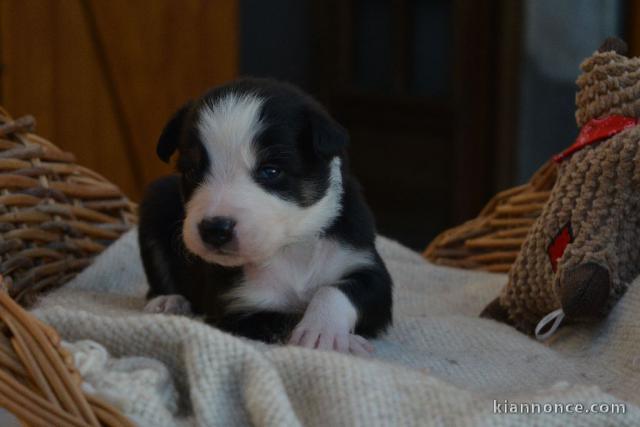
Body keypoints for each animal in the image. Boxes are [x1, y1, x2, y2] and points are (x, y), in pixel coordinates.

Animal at [138, 78, 392, 356]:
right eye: (193, 171)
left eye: (270, 171)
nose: (215, 229)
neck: (289, 248)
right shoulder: (235, 307)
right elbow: (285, 317)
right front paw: (330, 336)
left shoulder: (365, 265)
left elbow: (335, 290)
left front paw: (323, 330)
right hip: (155, 200)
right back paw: (168, 301)